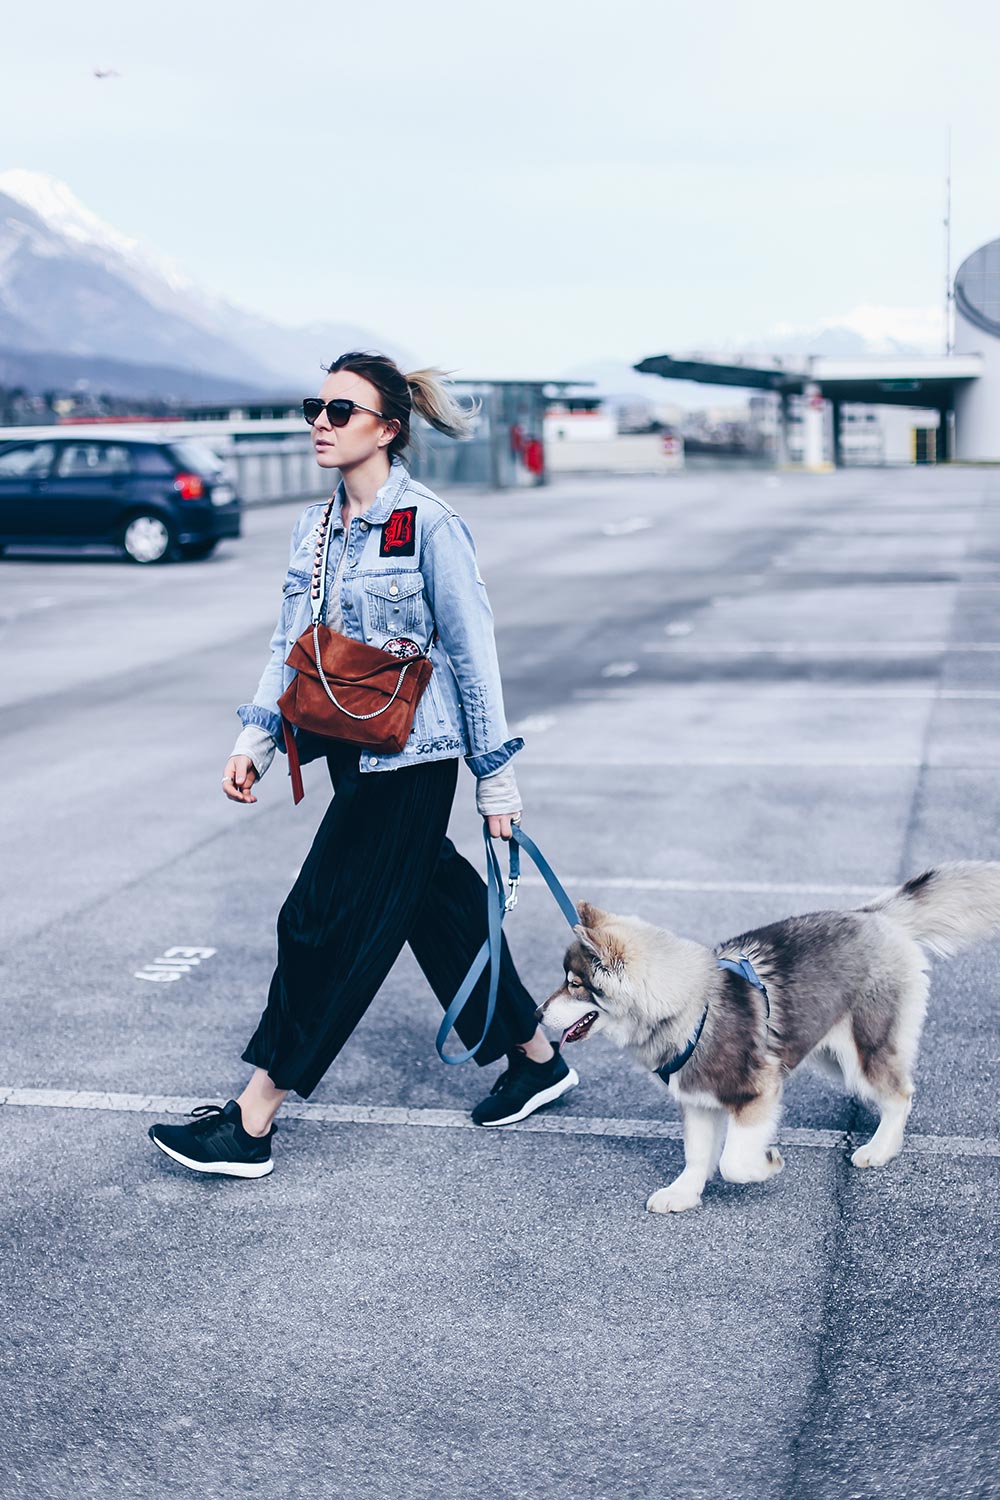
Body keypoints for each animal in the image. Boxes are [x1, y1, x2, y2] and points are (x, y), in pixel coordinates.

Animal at [539, 864, 1000, 1212]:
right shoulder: (697, 1100)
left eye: (574, 985)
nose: (538, 1013)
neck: (691, 1007)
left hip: (863, 1051)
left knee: (900, 1093)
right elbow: (697, 1154)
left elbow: (733, 1161)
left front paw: (767, 1163)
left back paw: (881, 1147)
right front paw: (684, 1193)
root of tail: (876, 915)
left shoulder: (758, 1092)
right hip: (831, 1054)